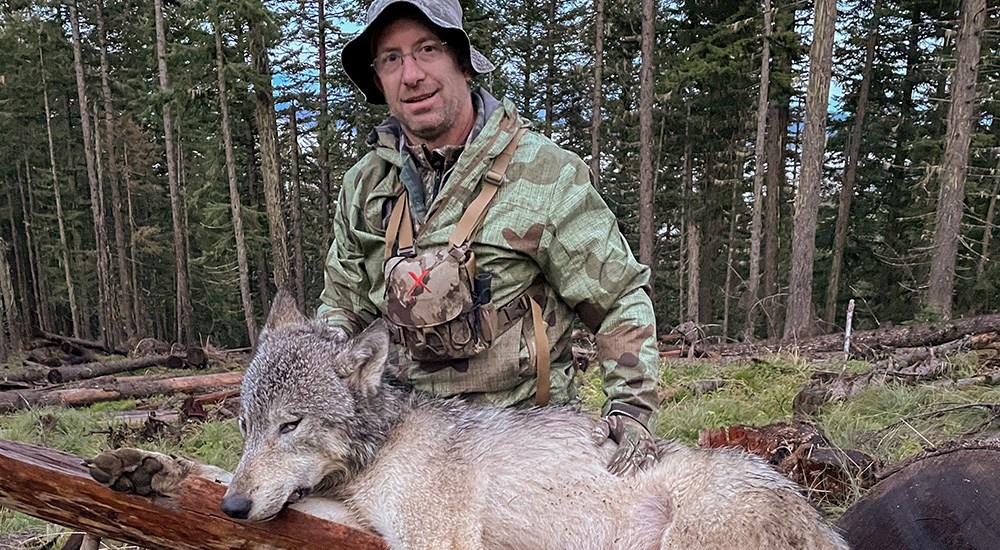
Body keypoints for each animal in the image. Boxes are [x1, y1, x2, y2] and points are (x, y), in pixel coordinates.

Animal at [90, 292, 848, 548]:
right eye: (248, 426)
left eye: (291, 425)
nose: (236, 509)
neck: (385, 446)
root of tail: (821, 524)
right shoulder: (362, 522)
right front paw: (151, 471)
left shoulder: (436, 541)